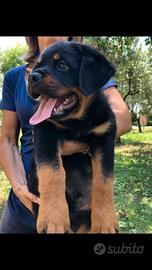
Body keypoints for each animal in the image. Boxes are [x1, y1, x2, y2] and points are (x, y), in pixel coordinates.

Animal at [27, 41, 119, 233]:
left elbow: (103, 179)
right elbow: (52, 172)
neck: (76, 123)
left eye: (63, 65)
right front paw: (53, 218)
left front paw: (105, 221)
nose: (31, 77)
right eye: (37, 65)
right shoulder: (45, 132)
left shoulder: (105, 135)